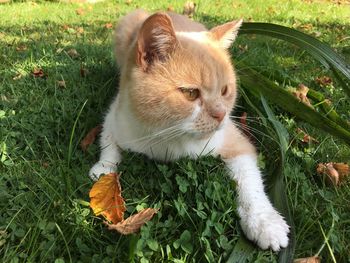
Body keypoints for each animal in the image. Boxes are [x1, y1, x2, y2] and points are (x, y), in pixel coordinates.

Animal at [90, 9, 290, 252]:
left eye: (225, 90)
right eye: (191, 93)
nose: (221, 114)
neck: (169, 136)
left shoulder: (236, 142)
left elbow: (250, 184)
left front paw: (264, 223)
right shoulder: (115, 116)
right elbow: (109, 145)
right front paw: (103, 169)